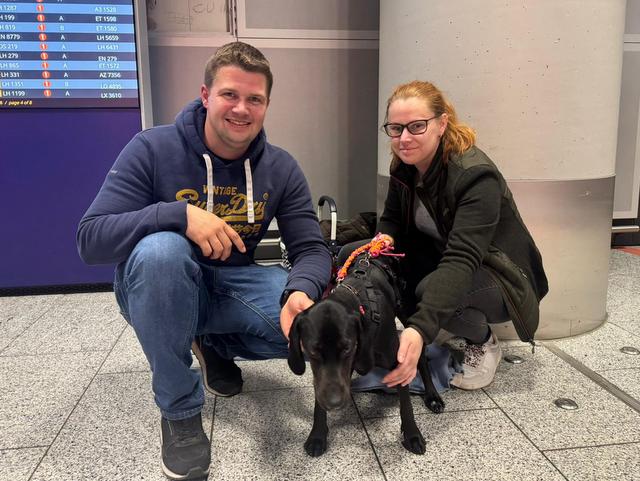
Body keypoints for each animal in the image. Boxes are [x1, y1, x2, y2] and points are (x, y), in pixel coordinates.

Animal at [288, 253, 445, 457]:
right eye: (312, 351)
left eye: (347, 348)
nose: (334, 403)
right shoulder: (323, 378)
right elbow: (319, 398)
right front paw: (317, 435)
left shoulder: (398, 364)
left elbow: (406, 406)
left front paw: (412, 435)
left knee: (421, 358)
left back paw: (432, 396)